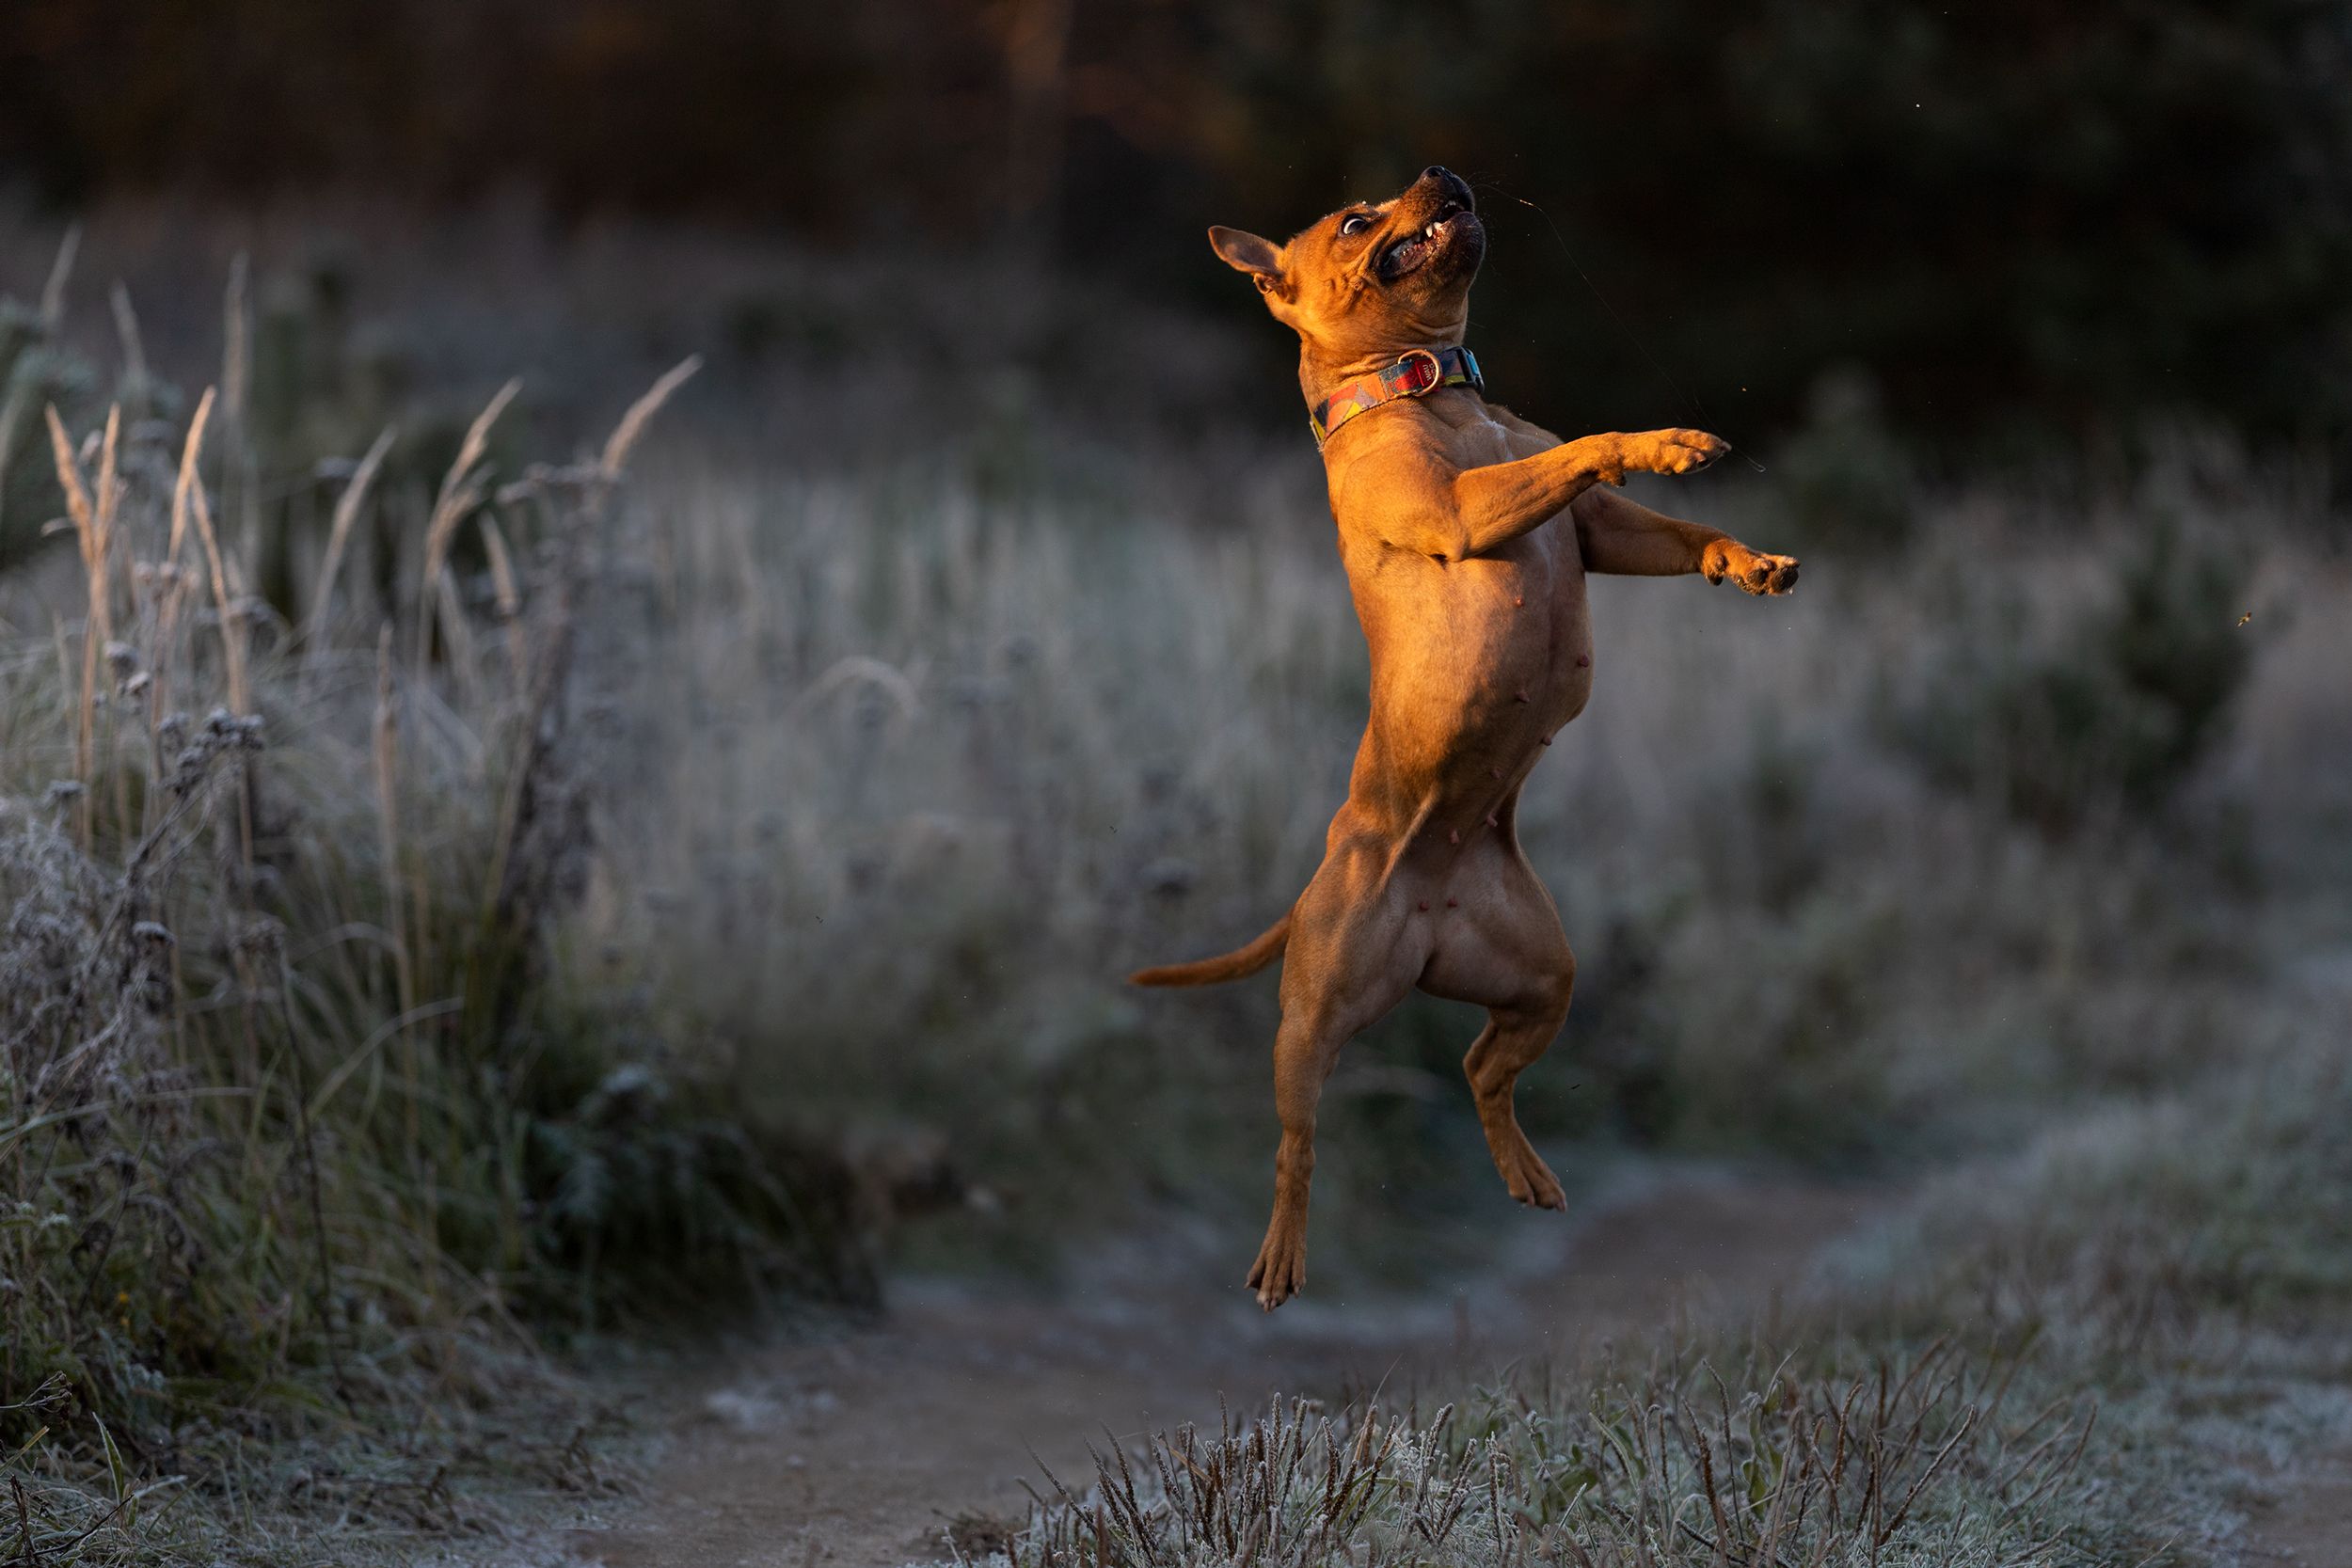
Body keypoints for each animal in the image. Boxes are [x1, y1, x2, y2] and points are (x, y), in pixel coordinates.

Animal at [1129, 166, 1788, 1316]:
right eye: (1357, 219)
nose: (1444, 176)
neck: (1426, 386)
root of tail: (1414, 905)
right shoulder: (1465, 511)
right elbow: (1583, 448)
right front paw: (1662, 441)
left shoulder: (1594, 532)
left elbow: (1650, 521)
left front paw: (1739, 559)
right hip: (1310, 1021)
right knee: (1297, 1142)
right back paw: (1282, 1253)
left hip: (1541, 974)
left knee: (1484, 1070)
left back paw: (1524, 1169)